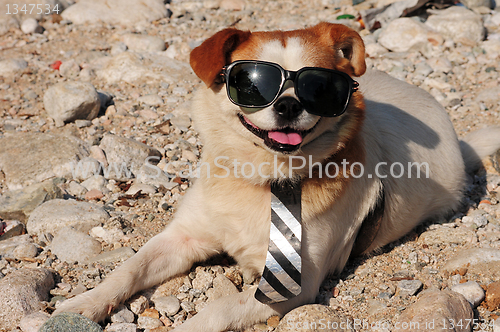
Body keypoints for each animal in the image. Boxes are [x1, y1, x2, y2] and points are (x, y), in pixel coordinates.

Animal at [54, 22, 500, 330]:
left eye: (319, 86)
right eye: (251, 83)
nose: (288, 105)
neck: (263, 180)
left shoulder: (294, 285)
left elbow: (218, 308)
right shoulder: (182, 238)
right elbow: (128, 269)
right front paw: (83, 304)